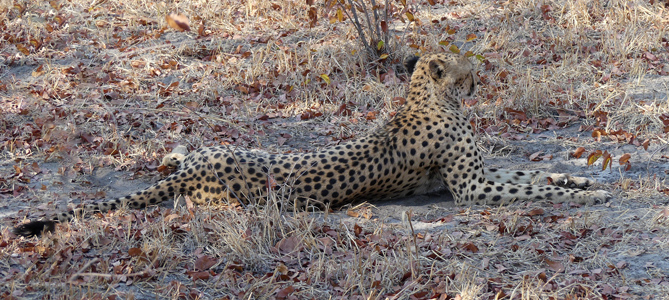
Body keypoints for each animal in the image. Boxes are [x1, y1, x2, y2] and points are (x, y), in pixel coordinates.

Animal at [14, 53, 612, 237]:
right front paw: (589, 196)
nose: (479, 79)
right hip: (232, 195)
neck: (428, 95)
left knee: (172, 157)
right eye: (466, 69)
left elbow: (534, 176)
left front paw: (583, 179)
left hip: (206, 150)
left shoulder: (483, 175)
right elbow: (533, 189)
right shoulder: (469, 187)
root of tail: (190, 173)